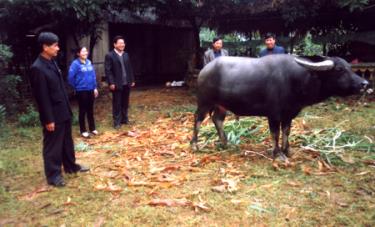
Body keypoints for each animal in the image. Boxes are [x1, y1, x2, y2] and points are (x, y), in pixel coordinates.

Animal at [192, 54, 368, 160]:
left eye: (350, 67)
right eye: (339, 69)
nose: (364, 83)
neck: (295, 79)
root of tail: (205, 69)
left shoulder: (289, 114)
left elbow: (286, 131)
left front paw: (287, 150)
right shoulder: (274, 115)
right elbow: (275, 134)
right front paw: (278, 154)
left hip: (221, 105)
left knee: (217, 119)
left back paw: (225, 142)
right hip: (204, 101)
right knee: (198, 119)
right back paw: (194, 145)